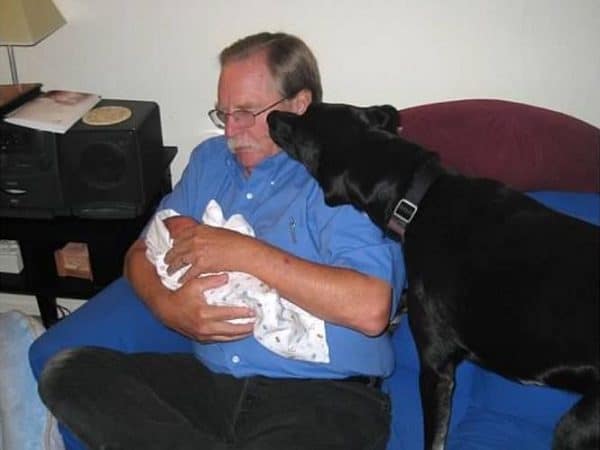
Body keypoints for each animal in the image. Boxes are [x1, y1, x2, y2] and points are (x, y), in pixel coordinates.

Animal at [268, 103, 600, 450]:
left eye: (303, 120)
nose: (271, 117)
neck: (417, 200)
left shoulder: (435, 367)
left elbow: (434, 438)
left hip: (576, 425)